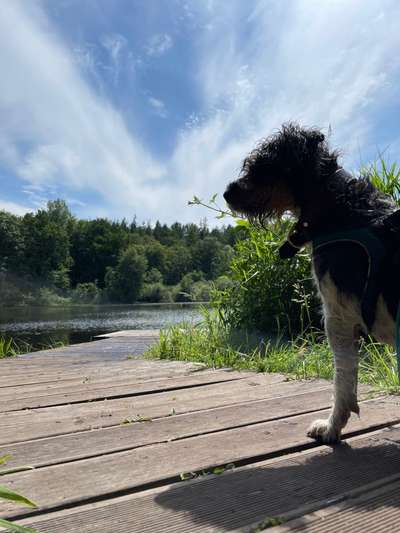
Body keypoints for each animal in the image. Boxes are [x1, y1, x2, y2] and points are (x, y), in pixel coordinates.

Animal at [223, 122, 400, 442]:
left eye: (261, 166)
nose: (226, 192)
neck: (334, 206)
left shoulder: (338, 317)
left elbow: (342, 383)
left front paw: (332, 427)